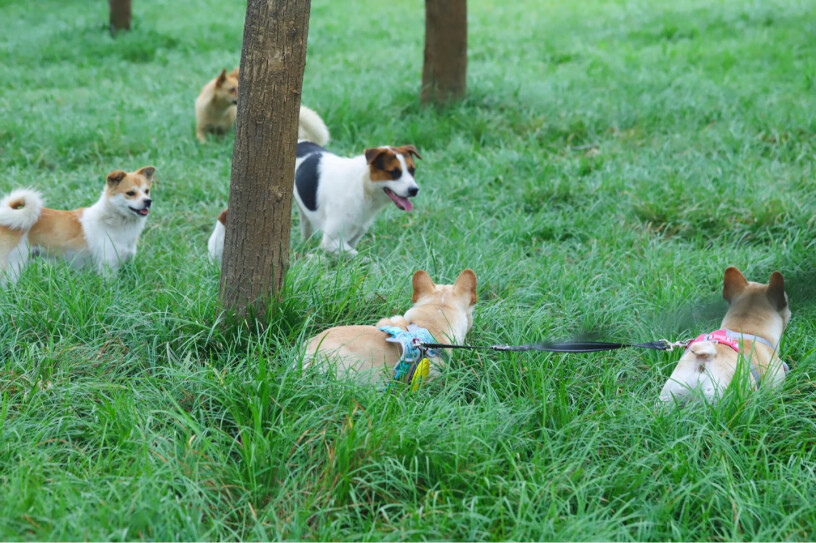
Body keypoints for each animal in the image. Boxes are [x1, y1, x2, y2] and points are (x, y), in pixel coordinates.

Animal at [0, 167, 155, 286]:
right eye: (130, 193)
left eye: (146, 191)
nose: (148, 201)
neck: (113, 221)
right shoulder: (107, 268)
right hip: (12, 269)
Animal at [193, 68, 330, 147]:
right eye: (231, 89)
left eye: (239, 87)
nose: (242, 98)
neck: (218, 112)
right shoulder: (201, 128)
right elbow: (201, 138)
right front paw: (207, 144)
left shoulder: (225, 131)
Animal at [207, 139, 424, 260]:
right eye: (394, 173)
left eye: (412, 170)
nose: (414, 190)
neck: (362, 186)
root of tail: (300, 141)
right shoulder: (331, 241)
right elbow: (359, 256)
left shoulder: (353, 236)